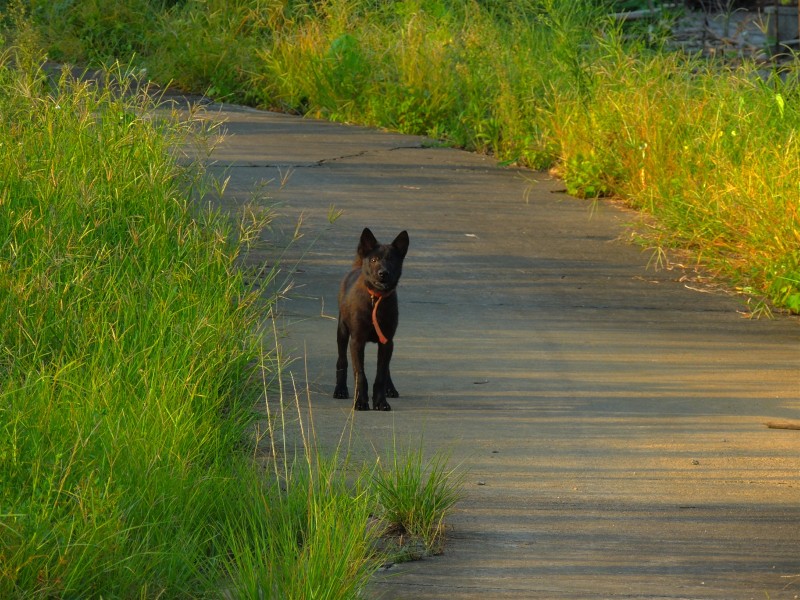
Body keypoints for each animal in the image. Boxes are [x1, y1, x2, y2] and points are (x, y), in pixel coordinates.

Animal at [334, 227, 410, 410]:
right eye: (374, 260)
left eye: (392, 260)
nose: (383, 273)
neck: (376, 298)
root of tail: (357, 266)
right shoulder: (356, 341)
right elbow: (360, 374)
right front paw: (361, 402)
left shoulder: (387, 341)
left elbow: (380, 375)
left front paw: (381, 402)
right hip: (342, 331)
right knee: (342, 361)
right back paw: (340, 390)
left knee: (386, 368)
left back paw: (391, 389)